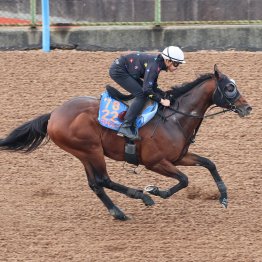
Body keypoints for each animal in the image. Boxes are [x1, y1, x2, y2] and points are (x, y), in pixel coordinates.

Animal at [1, 65, 253, 219]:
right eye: (230, 87)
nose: (248, 107)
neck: (175, 118)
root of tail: (53, 114)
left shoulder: (179, 157)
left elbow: (209, 164)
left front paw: (223, 197)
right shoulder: (155, 162)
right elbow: (184, 180)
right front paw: (154, 190)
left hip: (84, 153)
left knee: (95, 184)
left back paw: (118, 212)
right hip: (90, 150)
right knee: (103, 180)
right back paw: (141, 197)